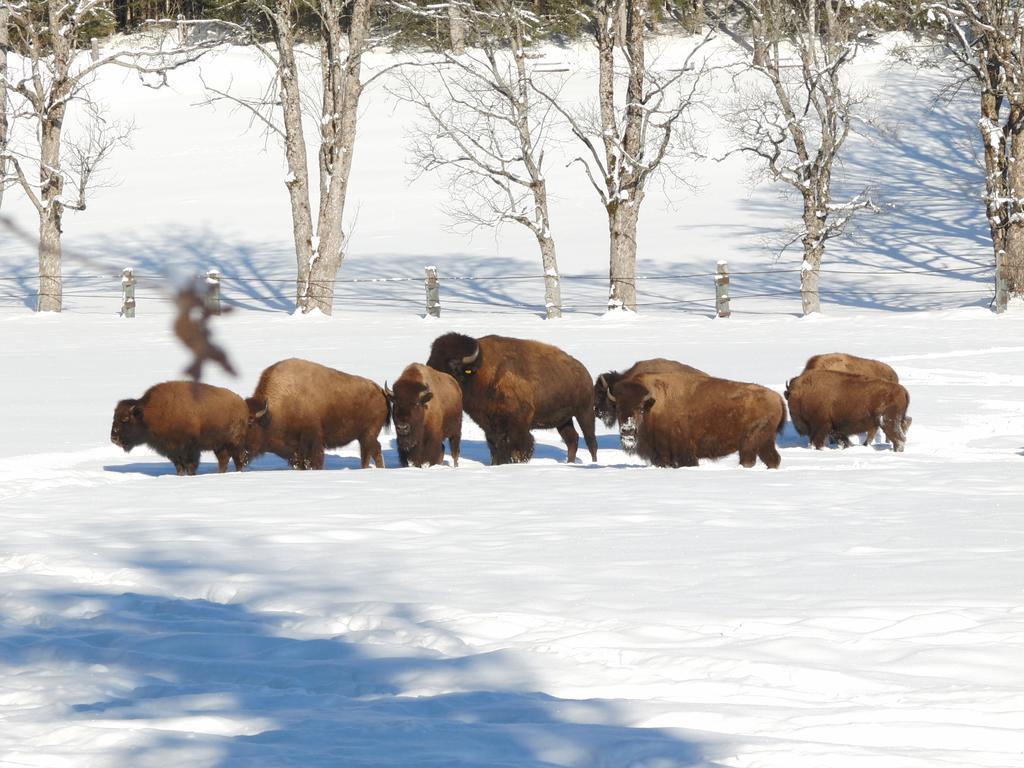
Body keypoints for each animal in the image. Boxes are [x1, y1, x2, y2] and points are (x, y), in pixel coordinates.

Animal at [111, 380, 248, 475]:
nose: (114, 438)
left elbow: (190, 466)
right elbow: (179, 467)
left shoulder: (189, 449)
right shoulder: (173, 452)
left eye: (125, 419)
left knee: (238, 459)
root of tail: (241, 403)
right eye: (114, 417)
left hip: (233, 443)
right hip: (219, 446)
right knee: (224, 460)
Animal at [245, 360, 389, 468]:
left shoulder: (312, 441)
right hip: (362, 436)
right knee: (367, 452)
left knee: (375, 450)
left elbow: (315, 462)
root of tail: (380, 390)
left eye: (250, 422)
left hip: (369, 434)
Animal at [425, 331, 598, 462]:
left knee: (590, 441)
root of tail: (584, 371)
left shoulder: (518, 425)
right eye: (431, 364)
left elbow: (519, 448)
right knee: (572, 440)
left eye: (453, 367)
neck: (480, 373)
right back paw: (570, 463)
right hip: (564, 421)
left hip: (584, 412)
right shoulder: (491, 427)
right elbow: (496, 449)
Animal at [606, 372, 782, 468]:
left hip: (749, 443)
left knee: (749, 460)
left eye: (640, 409)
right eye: (618, 409)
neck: (653, 406)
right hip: (764, 442)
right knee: (773, 459)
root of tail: (777, 398)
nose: (627, 430)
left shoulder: (684, 452)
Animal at [782, 370, 913, 450]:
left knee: (898, 438)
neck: (802, 394)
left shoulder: (820, 426)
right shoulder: (834, 429)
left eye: (790, 402)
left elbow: (818, 440)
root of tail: (903, 390)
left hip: (887, 421)